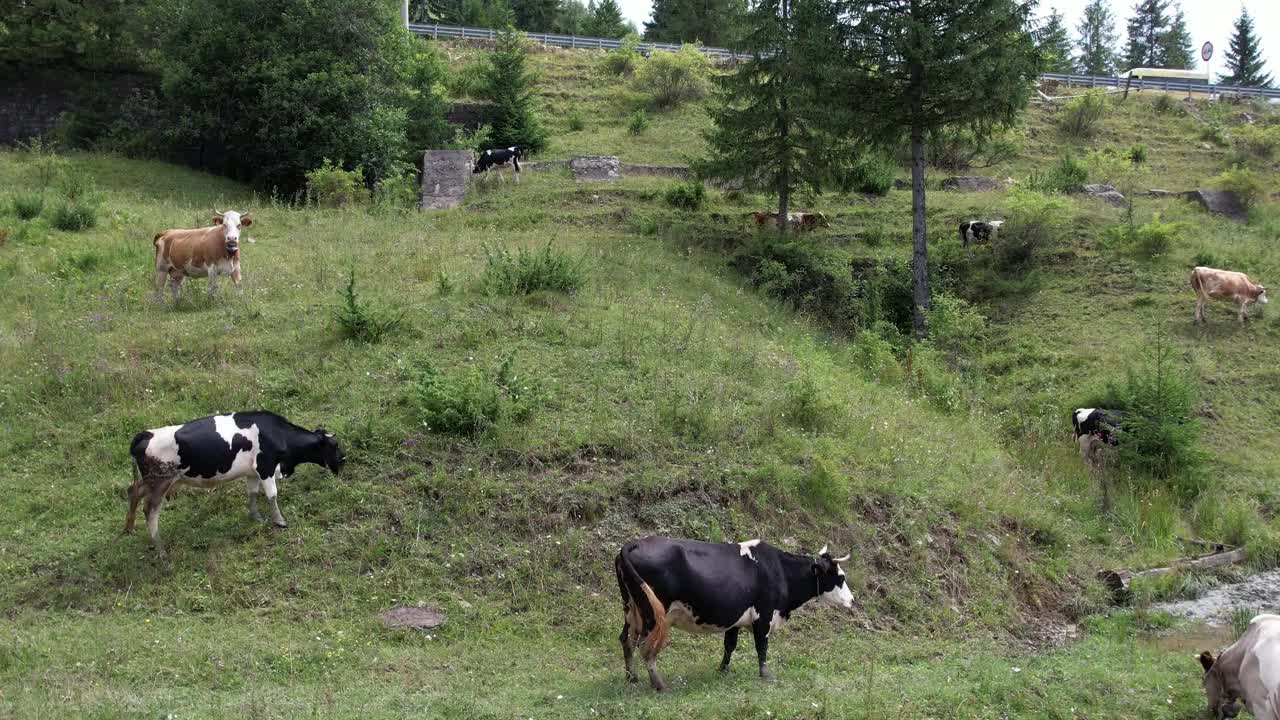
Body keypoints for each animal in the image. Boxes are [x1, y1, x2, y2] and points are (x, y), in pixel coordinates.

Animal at [125, 409, 345, 556]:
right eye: (334, 445)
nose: (344, 459)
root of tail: (146, 434)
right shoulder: (265, 466)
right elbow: (272, 495)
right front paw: (280, 521)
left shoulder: (252, 472)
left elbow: (252, 494)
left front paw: (256, 517)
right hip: (160, 483)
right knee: (150, 512)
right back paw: (161, 549)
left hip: (151, 482)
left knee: (133, 490)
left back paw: (128, 528)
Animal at [616, 535, 855, 686]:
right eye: (841, 578)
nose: (852, 600)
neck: (779, 569)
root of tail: (635, 543)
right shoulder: (764, 616)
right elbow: (762, 647)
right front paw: (765, 675)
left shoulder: (736, 619)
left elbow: (729, 645)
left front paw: (723, 670)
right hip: (653, 614)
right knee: (646, 646)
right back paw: (658, 683)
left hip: (631, 609)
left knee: (627, 639)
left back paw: (631, 677)